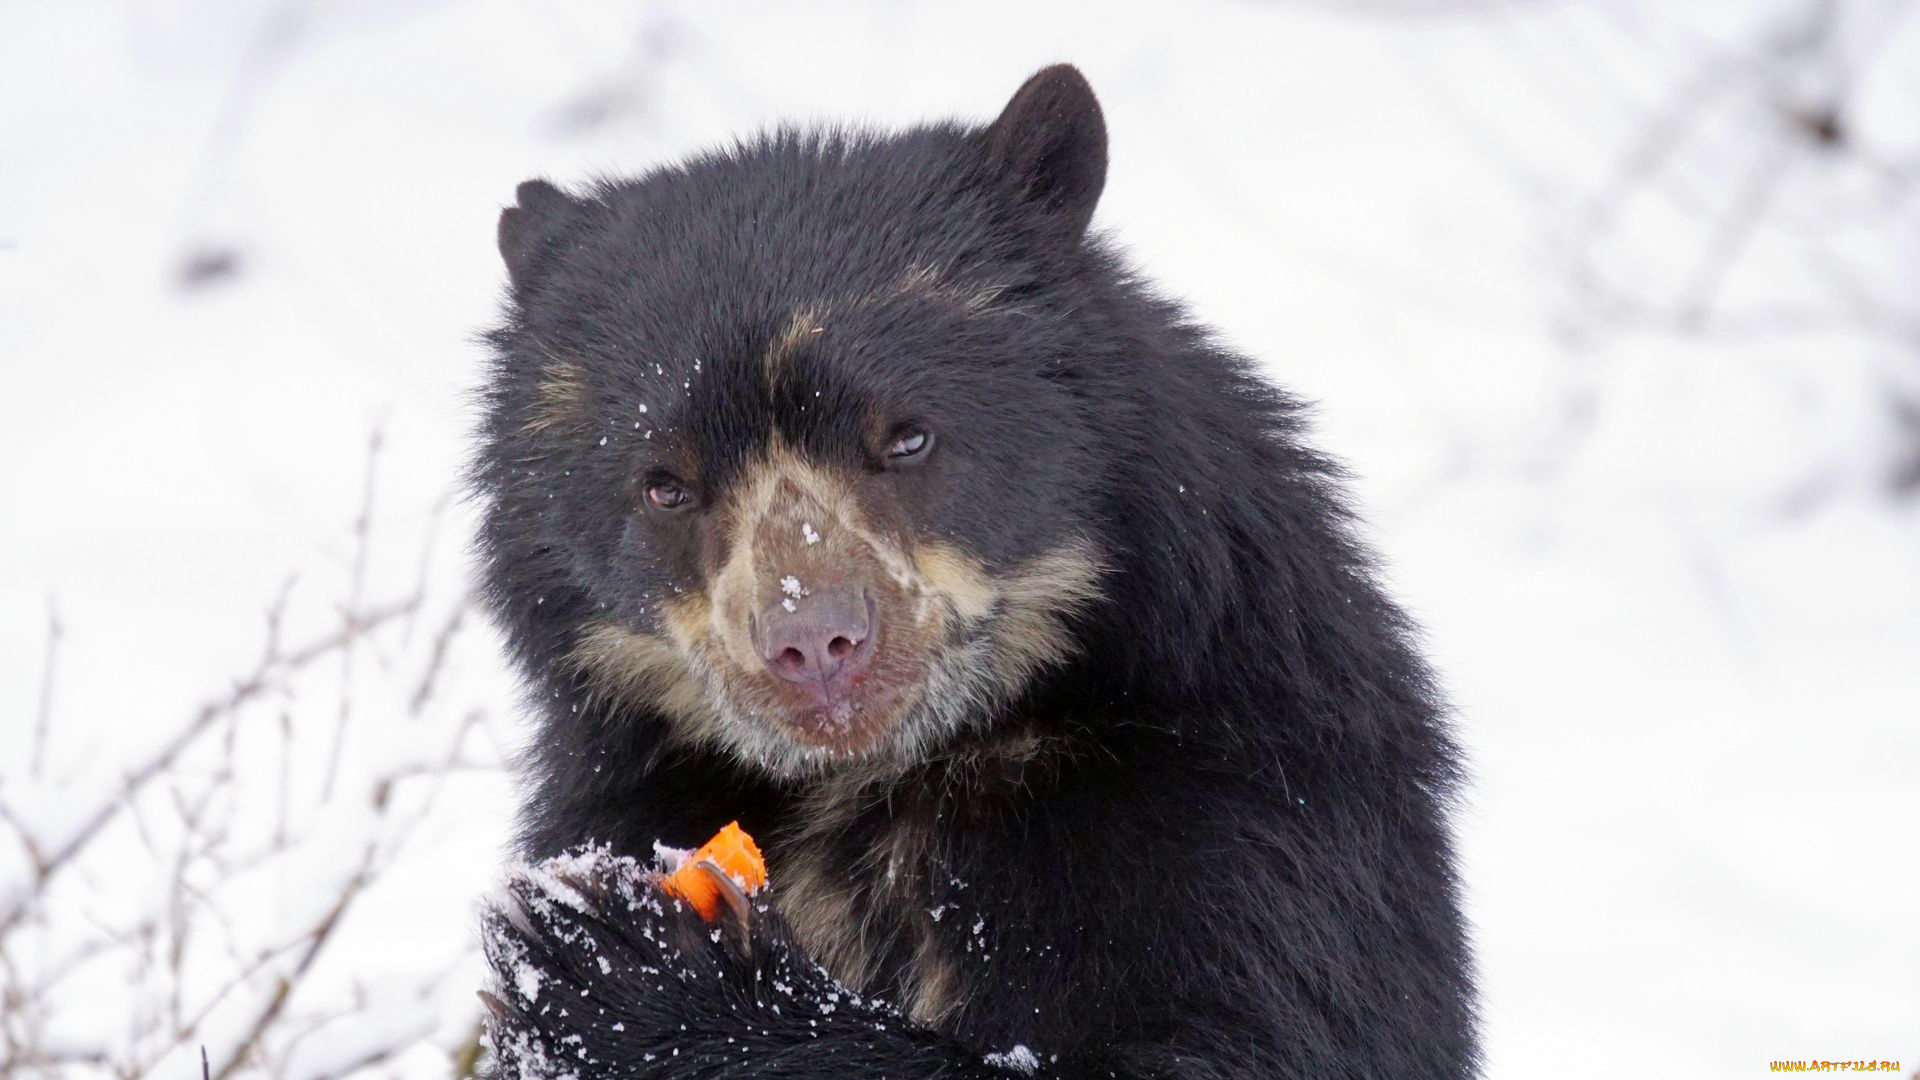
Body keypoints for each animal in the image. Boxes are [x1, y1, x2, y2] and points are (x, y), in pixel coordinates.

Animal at [472, 62, 1474, 1068]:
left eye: (908, 436)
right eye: (665, 486)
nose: (816, 643)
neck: (884, 779)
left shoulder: (1237, 807)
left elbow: (1245, 1034)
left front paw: (630, 969)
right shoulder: (625, 795)